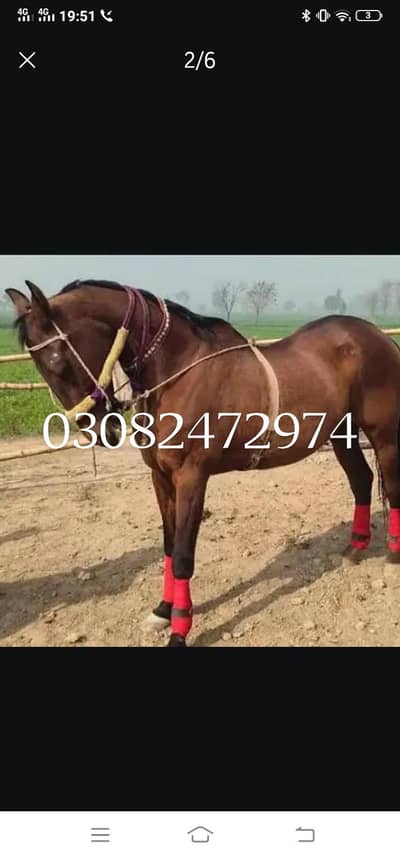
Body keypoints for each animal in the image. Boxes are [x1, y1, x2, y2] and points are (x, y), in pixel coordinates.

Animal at [6, 279, 400, 647]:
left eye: (57, 357)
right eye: (39, 364)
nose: (103, 428)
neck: (178, 370)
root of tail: (379, 336)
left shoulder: (191, 477)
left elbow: (183, 553)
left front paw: (179, 630)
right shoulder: (160, 478)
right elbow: (168, 546)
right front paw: (162, 611)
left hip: (383, 436)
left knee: (391, 488)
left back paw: (392, 556)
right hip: (341, 432)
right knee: (362, 480)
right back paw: (355, 548)